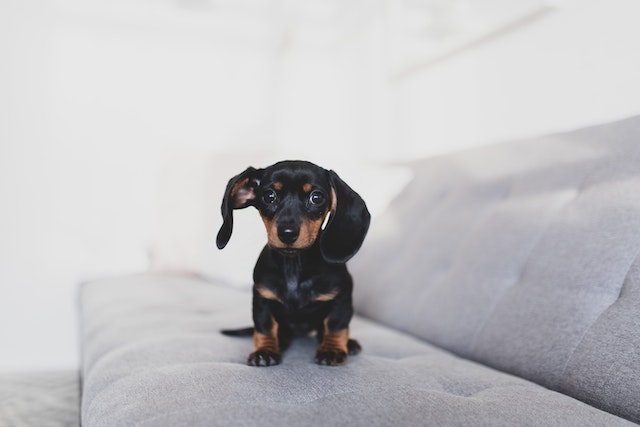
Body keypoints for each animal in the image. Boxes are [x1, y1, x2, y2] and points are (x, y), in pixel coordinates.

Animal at [218, 160, 370, 368]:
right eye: (269, 196)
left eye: (316, 197)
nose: (287, 233)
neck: (294, 265)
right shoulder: (262, 298)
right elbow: (265, 327)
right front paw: (265, 351)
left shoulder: (342, 298)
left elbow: (335, 325)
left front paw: (332, 349)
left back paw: (349, 343)